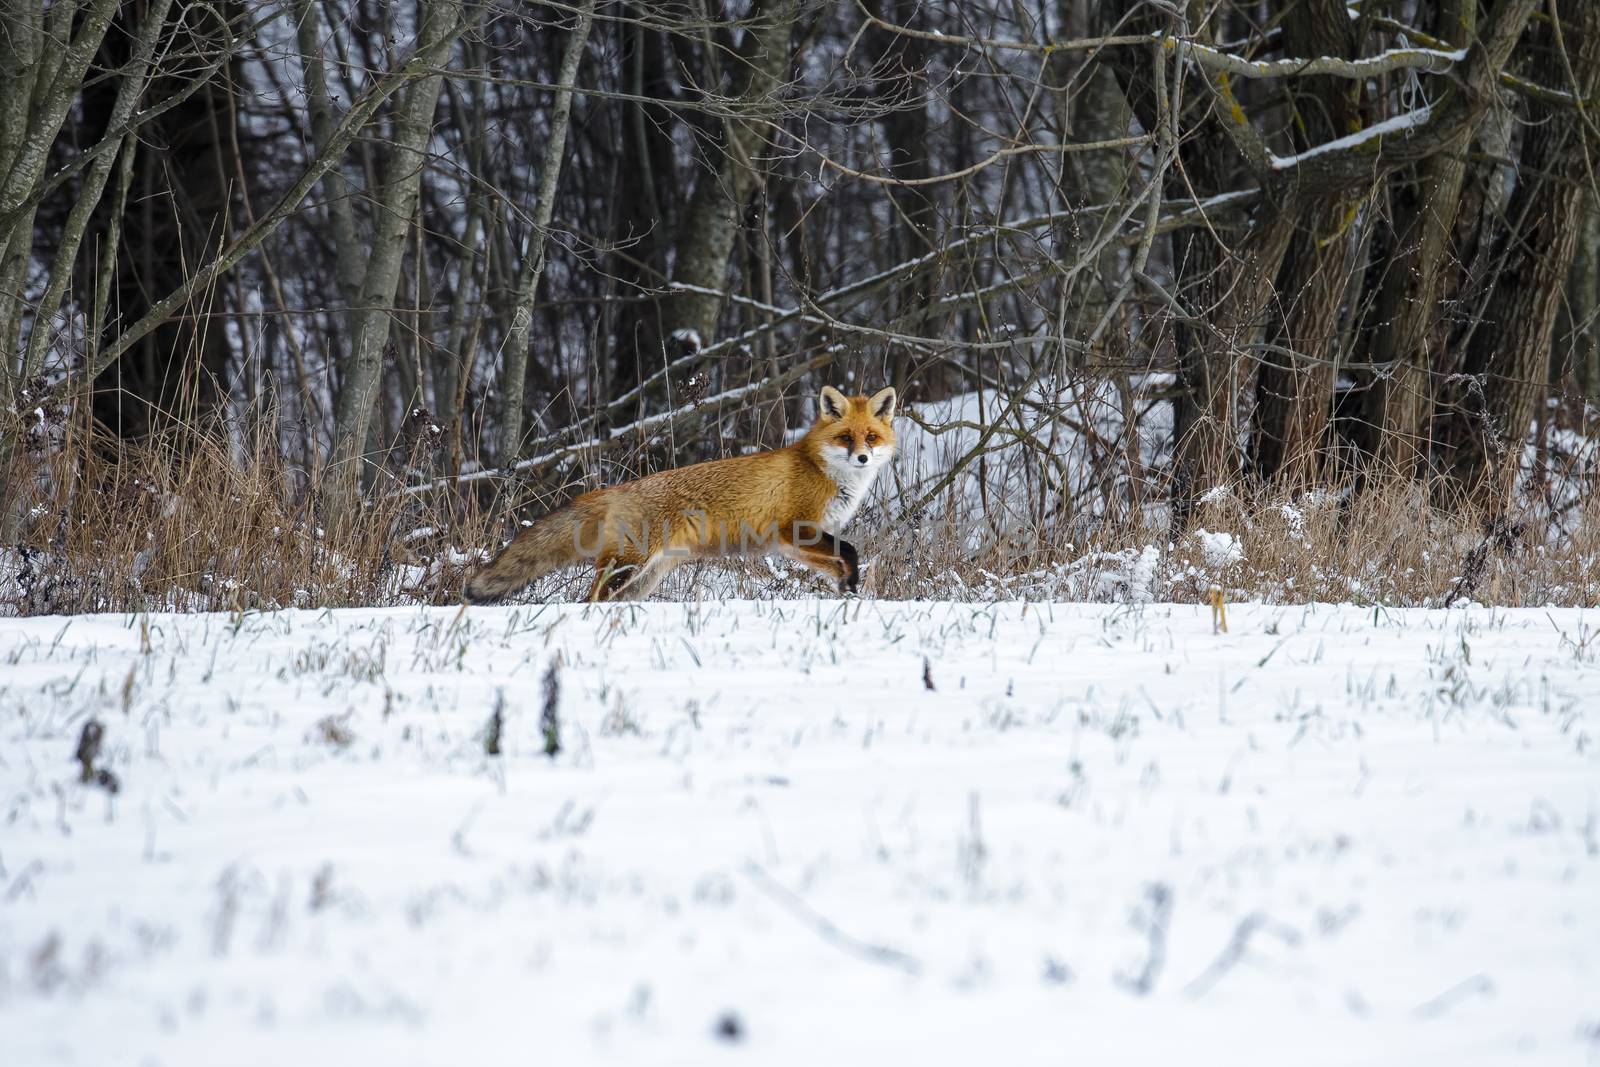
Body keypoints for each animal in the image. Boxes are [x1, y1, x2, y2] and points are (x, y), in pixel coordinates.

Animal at [464, 385, 896, 604]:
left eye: (872, 437)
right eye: (846, 437)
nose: (862, 457)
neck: (822, 471)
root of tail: (614, 489)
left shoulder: (793, 542)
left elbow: (839, 561)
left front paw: (847, 590)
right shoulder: (795, 529)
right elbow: (850, 550)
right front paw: (852, 587)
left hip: (643, 579)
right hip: (628, 567)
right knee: (588, 601)